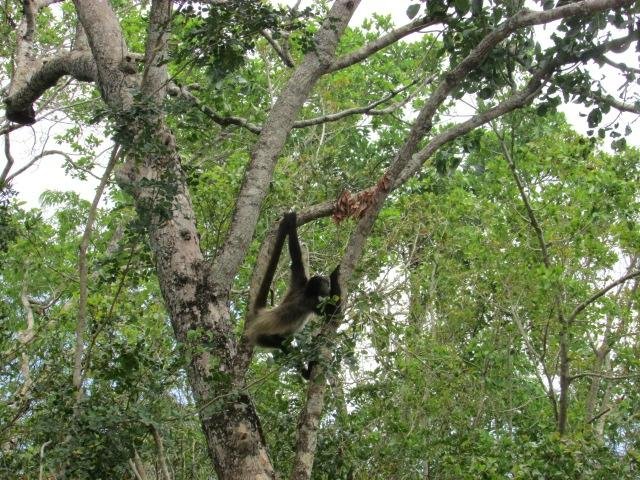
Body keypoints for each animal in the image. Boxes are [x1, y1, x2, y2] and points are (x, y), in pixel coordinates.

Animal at [245, 211, 340, 376]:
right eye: (325, 284)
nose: (328, 288)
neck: (306, 291)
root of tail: (261, 315)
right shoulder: (312, 302)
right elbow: (334, 313)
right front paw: (335, 273)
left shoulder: (300, 281)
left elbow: (296, 257)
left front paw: (291, 221)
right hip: (262, 337)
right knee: (282, 344)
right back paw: (306, 373)